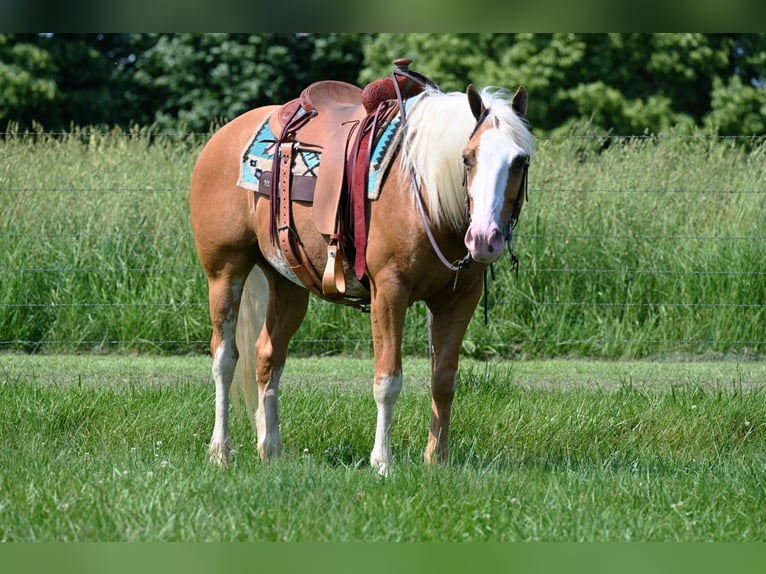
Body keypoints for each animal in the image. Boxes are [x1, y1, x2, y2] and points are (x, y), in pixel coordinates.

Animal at [188, 72, 536, 476]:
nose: (484, 238)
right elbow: (388, 380)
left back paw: (270, 449)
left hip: (288, 284)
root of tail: (223, 136)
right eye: (467, 158)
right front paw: (382, 462)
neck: (423, 193)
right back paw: (220, 451)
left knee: (267, 356)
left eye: (520, 161)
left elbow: (444, 380)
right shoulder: (389, 292)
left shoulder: (459, 299)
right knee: (224, 358)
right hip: (224, 273)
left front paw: (437, 462)